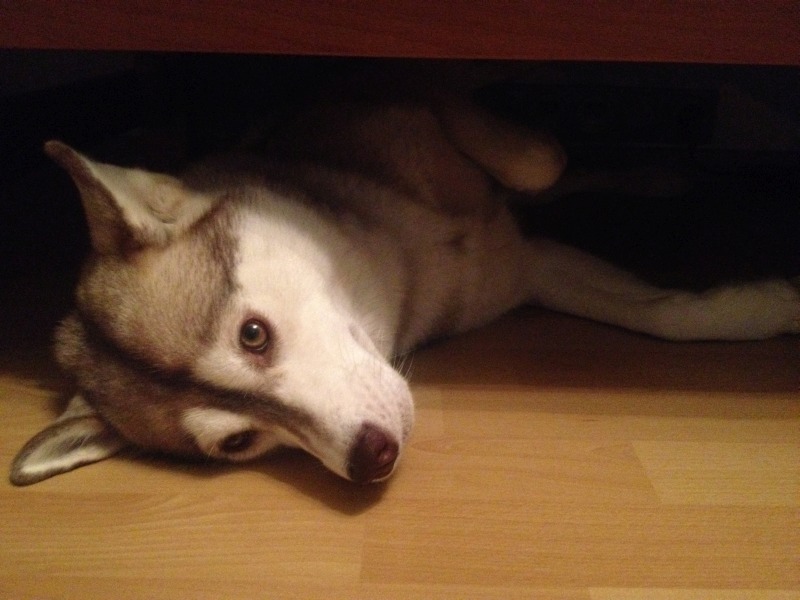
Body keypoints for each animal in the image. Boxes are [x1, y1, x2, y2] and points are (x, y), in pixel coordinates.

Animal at [10, 97, 800, 486]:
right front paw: (769, 304)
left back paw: (660, 174)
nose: (371, 459)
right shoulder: (523, 270)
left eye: (251, 335)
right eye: (239, 441)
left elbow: (537, 160)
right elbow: (660, 314)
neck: (405, 262)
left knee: (566, 172)